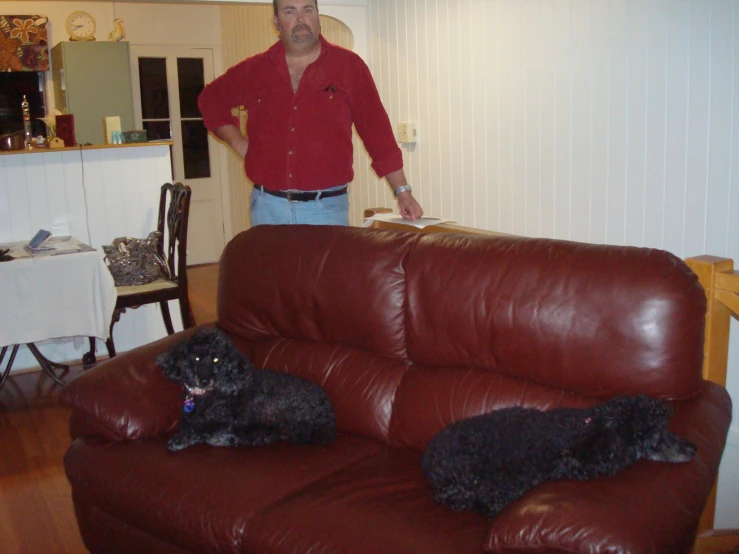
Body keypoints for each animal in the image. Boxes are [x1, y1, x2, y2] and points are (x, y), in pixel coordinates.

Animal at [160, 328, 340, 448]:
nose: (204, 380)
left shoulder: (225, 420)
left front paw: (182, 439)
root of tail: (329, 416)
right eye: (196, 358)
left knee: (268, 433)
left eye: (216, 359)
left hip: (268, 406)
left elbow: (204, 429)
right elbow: (189, 424)